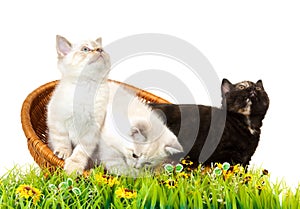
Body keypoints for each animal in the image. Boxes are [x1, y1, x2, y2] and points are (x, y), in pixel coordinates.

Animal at [47, 35, 110, 174]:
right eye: (85, 49)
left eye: (101, 49)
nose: (99, 50)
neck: (86, 85)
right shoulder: (57, 120)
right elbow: (62, 139)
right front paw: (63, 153)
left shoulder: (91, 131)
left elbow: (80, 152)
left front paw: (73, 167)